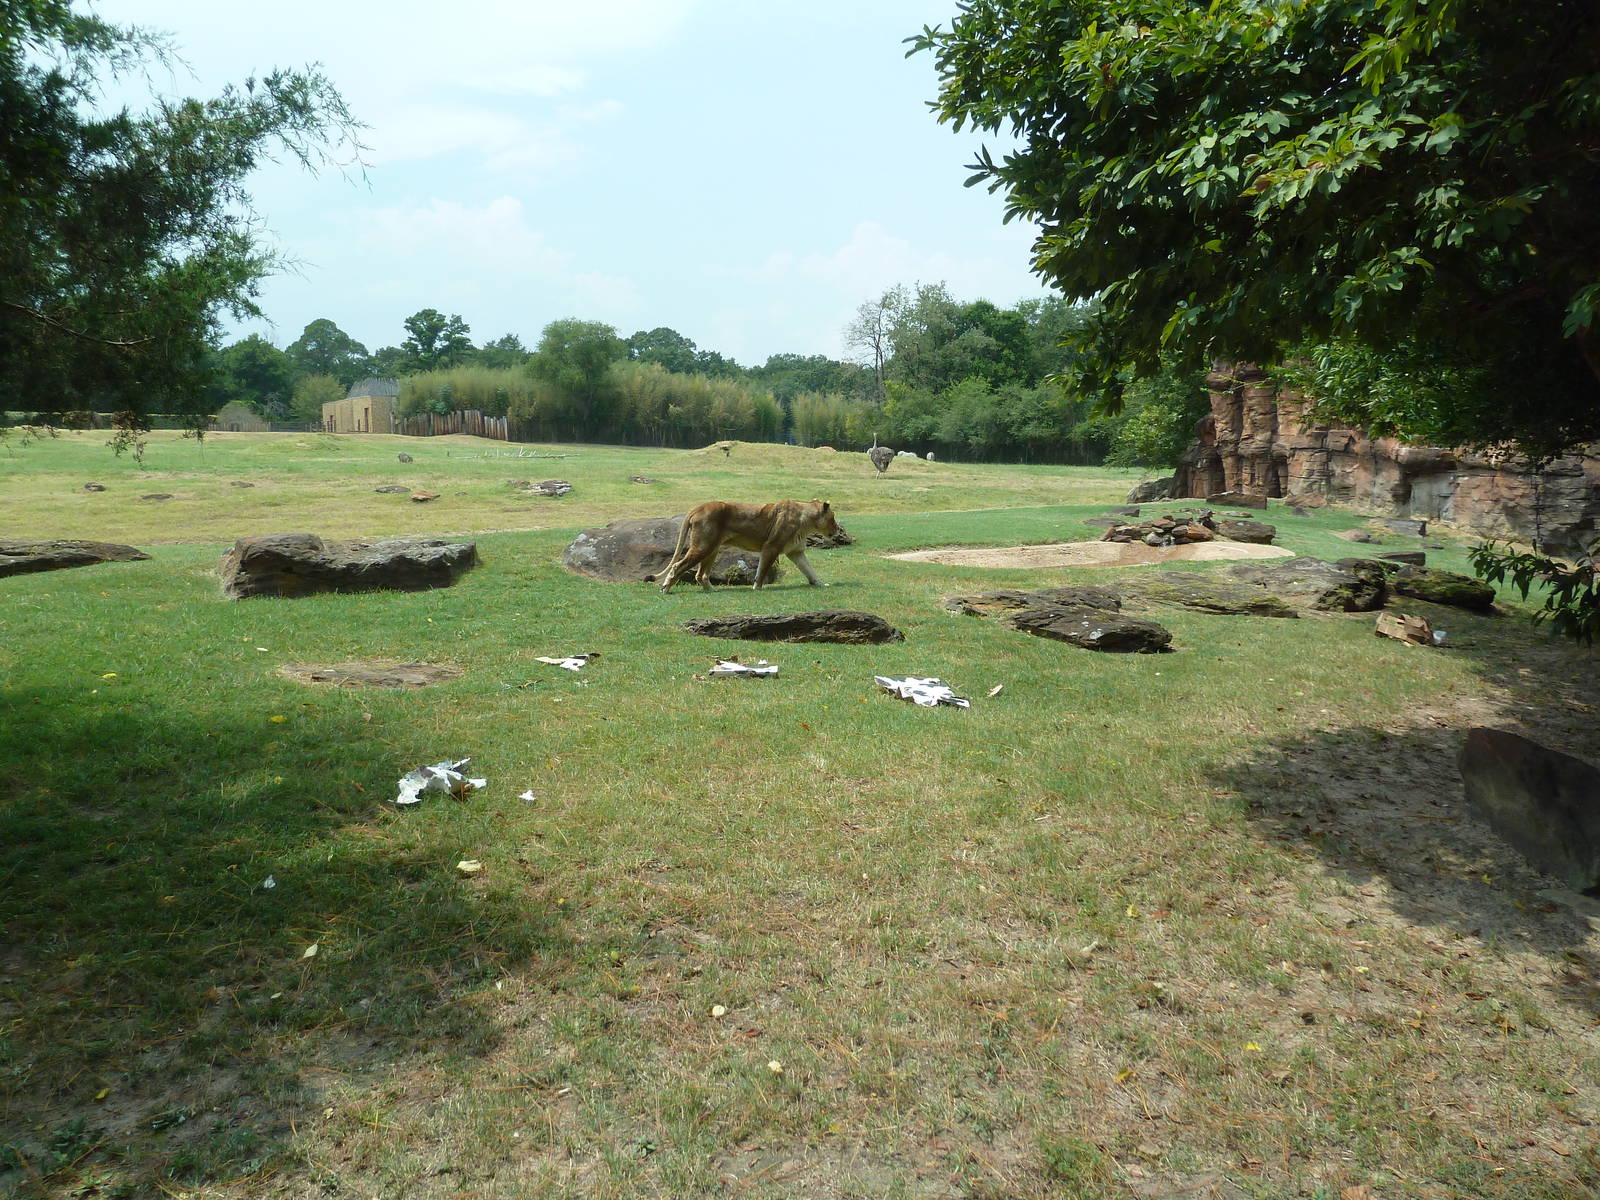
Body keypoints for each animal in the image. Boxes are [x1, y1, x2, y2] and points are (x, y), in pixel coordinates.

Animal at [656, 499, 839, 592]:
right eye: (833, 518)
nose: (837, 529)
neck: (807, 521)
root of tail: (697, 508)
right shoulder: (771, 547)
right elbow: (762, 570)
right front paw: (757, 587)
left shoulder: (796, 552)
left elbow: (809, 570)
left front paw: (820, 584)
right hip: (703, 546)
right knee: (678, 566)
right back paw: (666, 588)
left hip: (712, 548)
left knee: (700, 575)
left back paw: (712, 590)